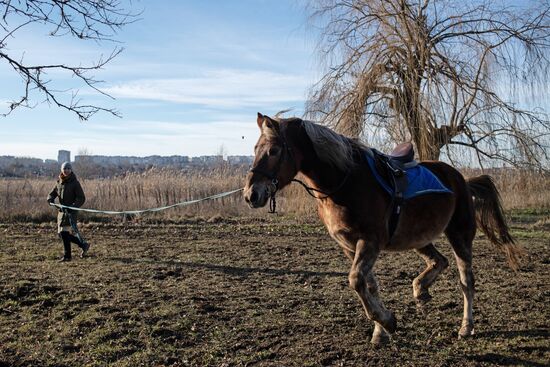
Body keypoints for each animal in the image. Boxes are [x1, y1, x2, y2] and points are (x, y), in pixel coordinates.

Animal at [244, 113, 524, 346]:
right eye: (255, 149)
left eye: (273, 150)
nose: (250, 194)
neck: (345, 181)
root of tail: (462, 180)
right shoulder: (349, 246)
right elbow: (370, 285)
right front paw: (381, 331)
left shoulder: (370, 242)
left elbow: (356, 280)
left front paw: (387, 321)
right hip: (419, 238)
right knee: (439, 261)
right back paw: (420, 290)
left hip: (460, 235)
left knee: (467, 281)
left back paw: (466, 326)